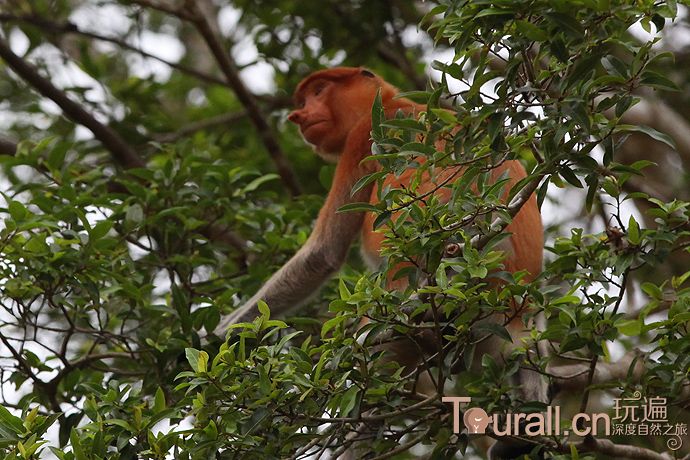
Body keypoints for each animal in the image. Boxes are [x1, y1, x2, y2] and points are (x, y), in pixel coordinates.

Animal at [215, 67, 544, 456]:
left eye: (319, 91)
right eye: (303, 99)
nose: (298, 116)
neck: (393, 100)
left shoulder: (362, 136)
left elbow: (323, 253)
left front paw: (220, 336)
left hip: (409, 310)